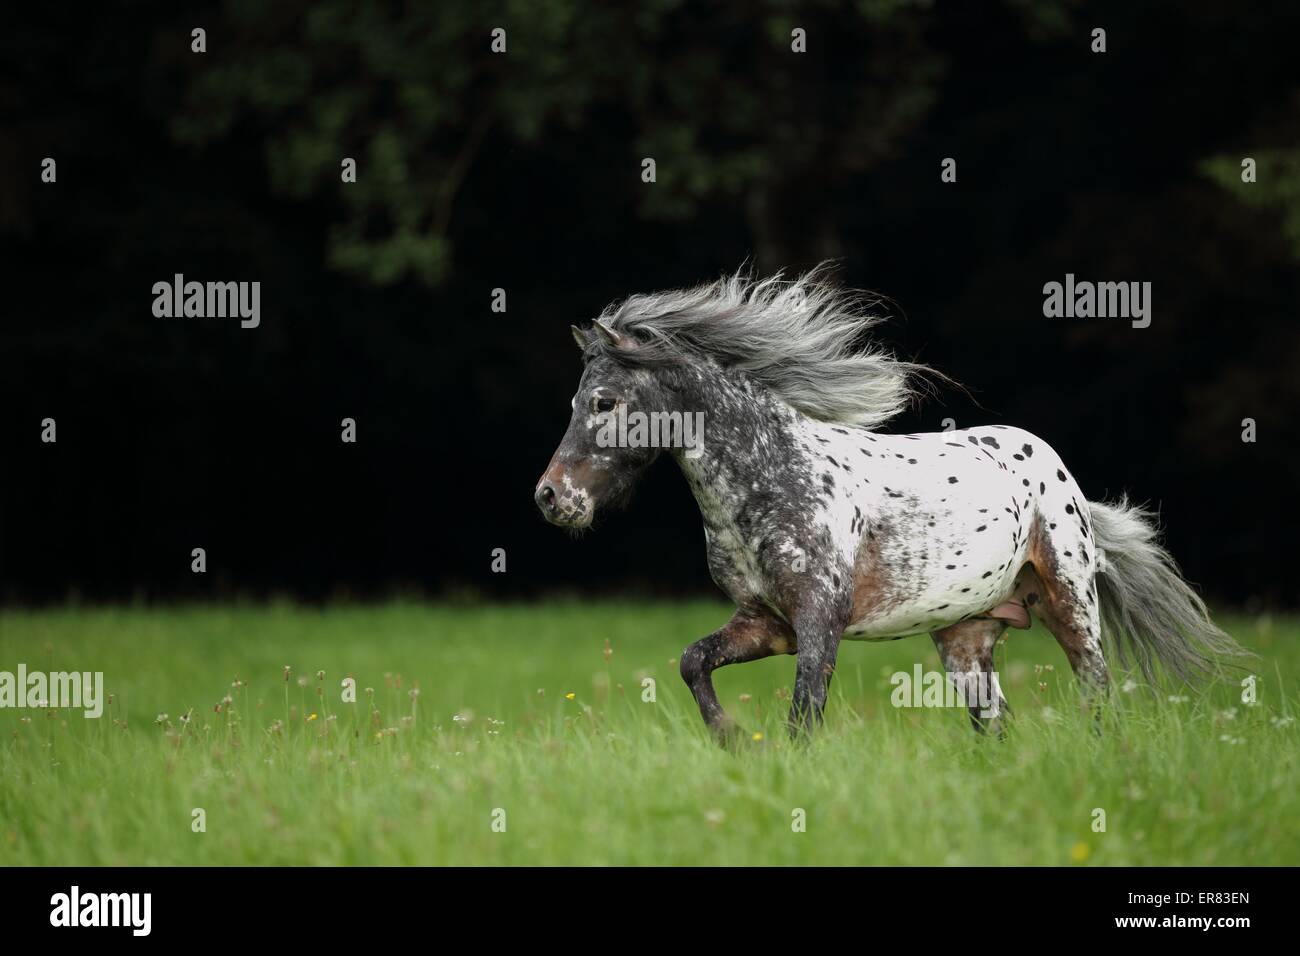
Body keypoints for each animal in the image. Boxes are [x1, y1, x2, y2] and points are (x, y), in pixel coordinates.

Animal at [535, 267, 1237, 738]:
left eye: (602, 401)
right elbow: (691, 663)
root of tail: (1054, 467)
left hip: (1071, 603)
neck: (774, 476)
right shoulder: (765, 623)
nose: (550, 497)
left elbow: (803, 719)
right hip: (966, 638)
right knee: (997, 725)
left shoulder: (820, 621)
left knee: (1098, 696)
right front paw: (731, 739)